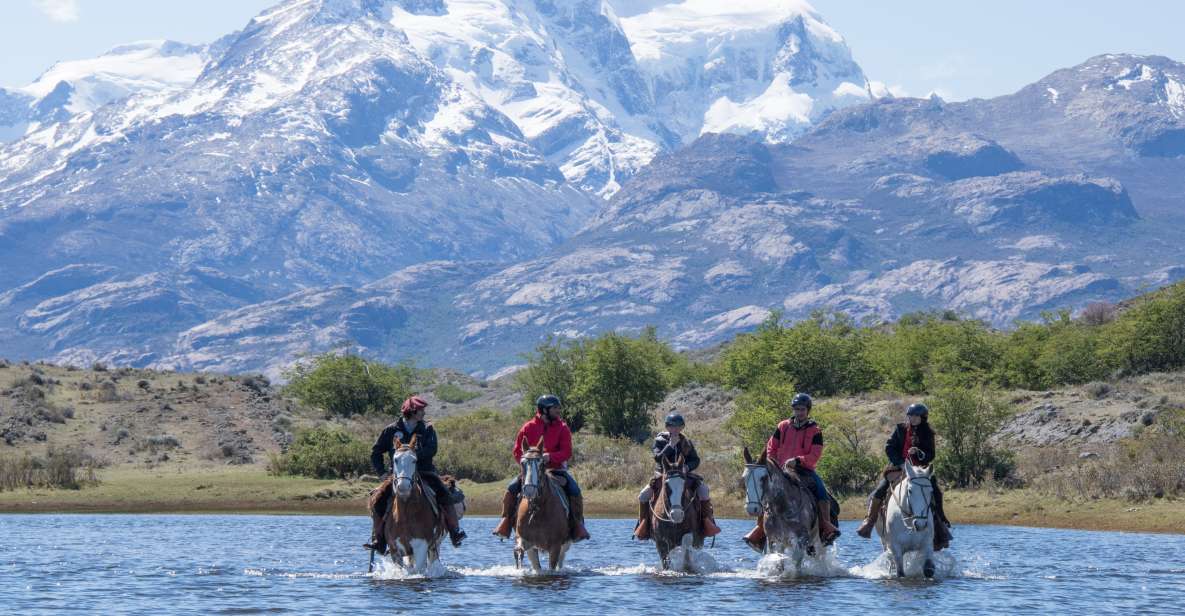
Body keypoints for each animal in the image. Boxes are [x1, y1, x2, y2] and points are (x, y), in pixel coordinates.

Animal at [374, 435, 445, 575]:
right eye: (395, 459)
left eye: (414, 460)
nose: (403, 487)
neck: (405, 513)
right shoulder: (395, 549)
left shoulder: (421, 547)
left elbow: (417, 570)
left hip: (435, 545)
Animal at [511, 438, 571, 573]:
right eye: (522, 463)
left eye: (541, 464)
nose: (529, 491)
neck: (537, 510)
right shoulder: (527, 542)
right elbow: (521, 552)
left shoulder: (555, 547)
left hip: (565, 546)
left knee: (560, 562)